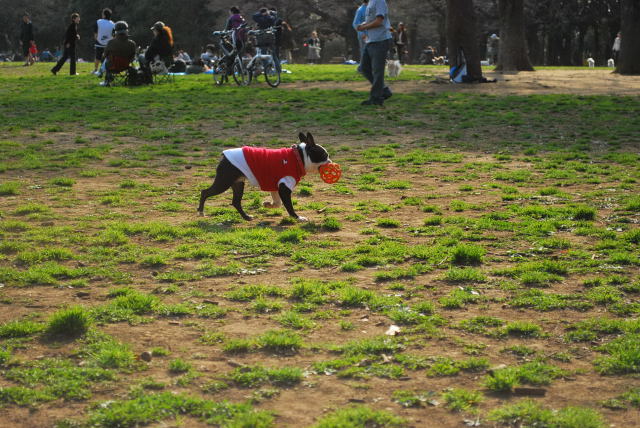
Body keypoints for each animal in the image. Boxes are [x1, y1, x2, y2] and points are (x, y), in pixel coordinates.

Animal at [198, 132, 332, 221]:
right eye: (324, 155)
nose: (330, 161)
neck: (299, 157)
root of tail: (224, 156)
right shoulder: (285, 187)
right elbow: (289, 206)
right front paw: (297, 217)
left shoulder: (275, 186)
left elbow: (278, 202)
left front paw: (268, 204)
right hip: (224, 182)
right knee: (205, 192)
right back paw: (200, 212)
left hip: (238, 183)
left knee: (236, 202)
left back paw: (246, 217)